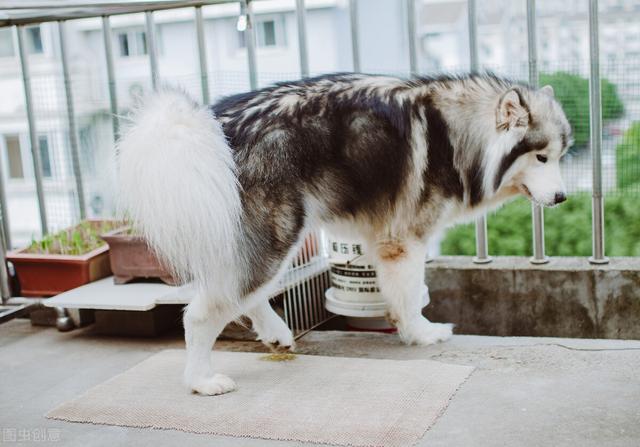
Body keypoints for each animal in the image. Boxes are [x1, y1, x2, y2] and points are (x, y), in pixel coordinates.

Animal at [117, 73, 572, 396]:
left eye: (560, 156)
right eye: (541, 157)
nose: (563, 197)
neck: (455, 132)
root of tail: (215, 126)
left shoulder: (381, 238)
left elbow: (397, 295)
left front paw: (404, 326)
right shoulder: (404, 240)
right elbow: (410, 295)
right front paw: (421, 334)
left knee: (242, 292)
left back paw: (276, 333)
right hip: (278, 233)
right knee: (202, 312)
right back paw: (201, 381)